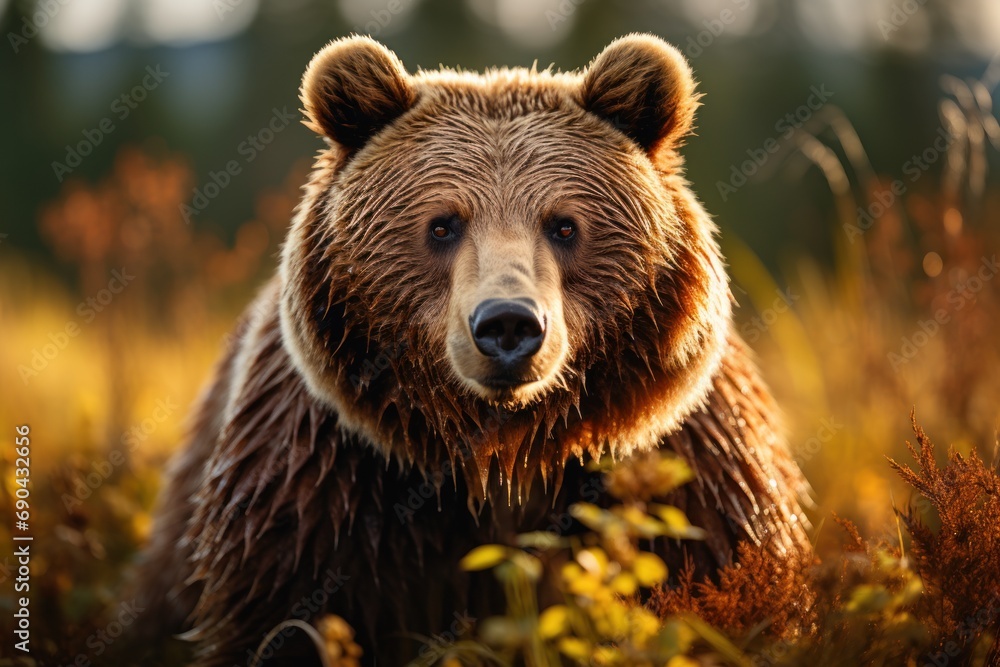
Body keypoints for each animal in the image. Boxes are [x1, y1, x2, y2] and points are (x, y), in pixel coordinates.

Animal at [134, 33, 811, 666]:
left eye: (564, 224)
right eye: (442, 224)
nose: (508, 324)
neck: (501, 452)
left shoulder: (685, 465)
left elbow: (727, 585)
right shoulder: (320, 481)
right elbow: (277, 619)